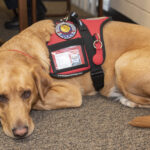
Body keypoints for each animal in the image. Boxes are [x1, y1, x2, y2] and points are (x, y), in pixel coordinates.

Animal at [0, 19, 150, 139]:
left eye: (27, 94)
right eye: (1, 97)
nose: (20, 132)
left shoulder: (71, 93)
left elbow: (38, 102)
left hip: (121, 64)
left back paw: (127, 100)